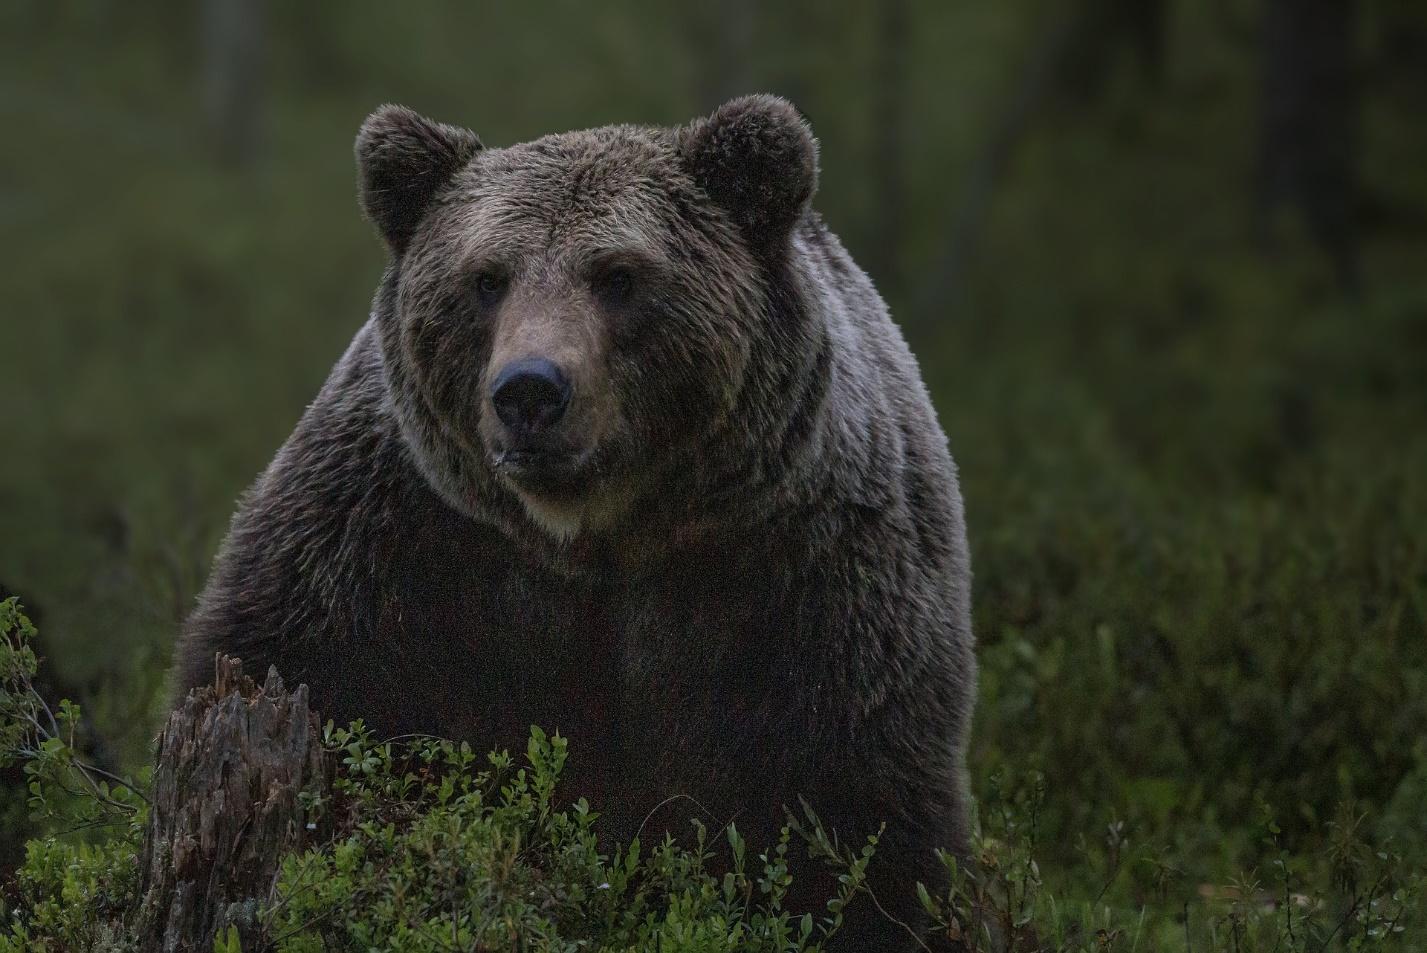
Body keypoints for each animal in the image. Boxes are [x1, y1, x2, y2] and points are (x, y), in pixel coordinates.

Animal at [172, 94, 976, 947]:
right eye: (486, 278)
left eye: (618, 276)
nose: (529, 390)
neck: (594, 536)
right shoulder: (394, 541)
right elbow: (301, 667)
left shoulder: (803, 576)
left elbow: (854, 812)